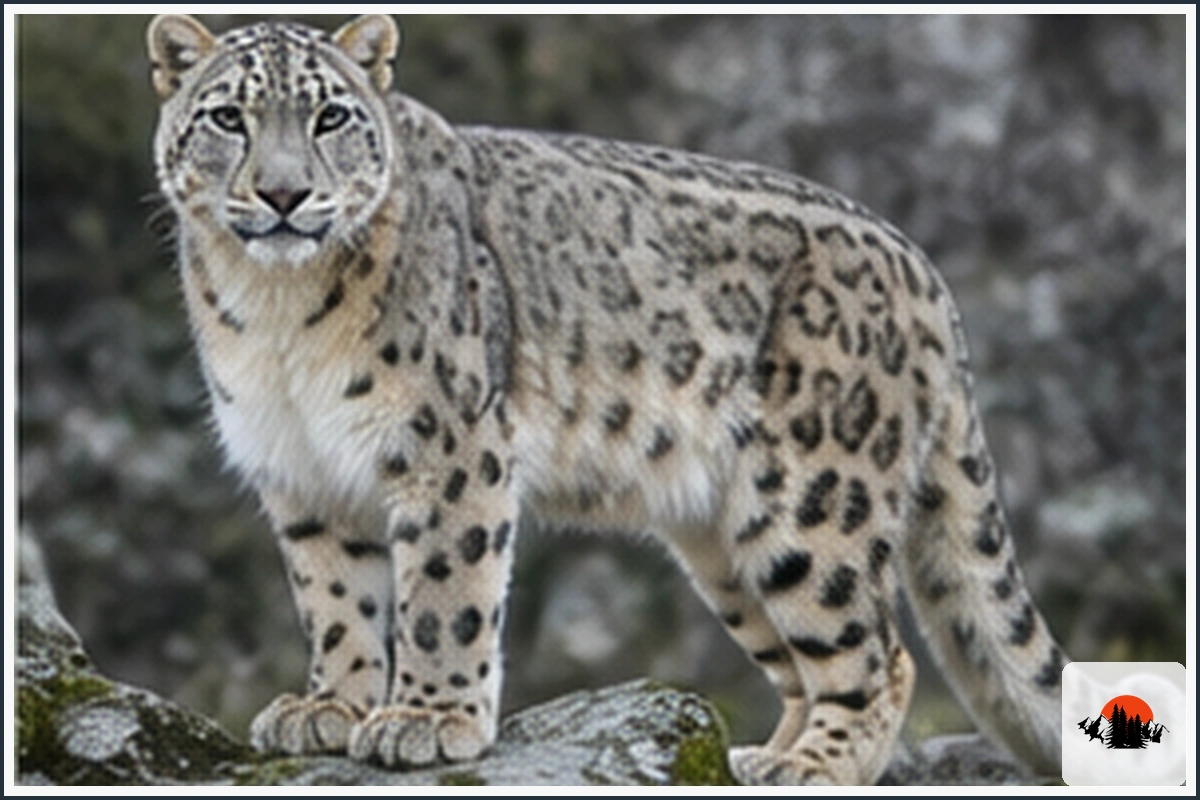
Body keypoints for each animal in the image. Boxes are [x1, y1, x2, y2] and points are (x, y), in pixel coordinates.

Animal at [147, 13, 1067, 784]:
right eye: (227, 118)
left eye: (331, 117)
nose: (284, 194)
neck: (276, 316)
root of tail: (920, 267)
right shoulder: (299, 469)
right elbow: (337, 598)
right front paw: (329, 707)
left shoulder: (449, 446)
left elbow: (443, 592)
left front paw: (428, 719)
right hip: (722, 541)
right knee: (801, 659)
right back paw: (756, 754)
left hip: (812, 502)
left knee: (876, 653)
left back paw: (811, 767)